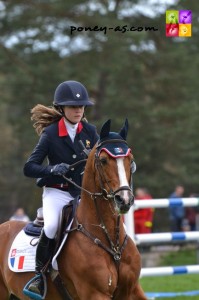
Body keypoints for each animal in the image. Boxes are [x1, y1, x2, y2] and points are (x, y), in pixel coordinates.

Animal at [0, 119, 146, 300]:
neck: (112, 244)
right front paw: (60, 169)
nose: (124, 199)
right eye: (103, 160)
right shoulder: (95, 293)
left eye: (130, 160)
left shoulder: (133, 290)